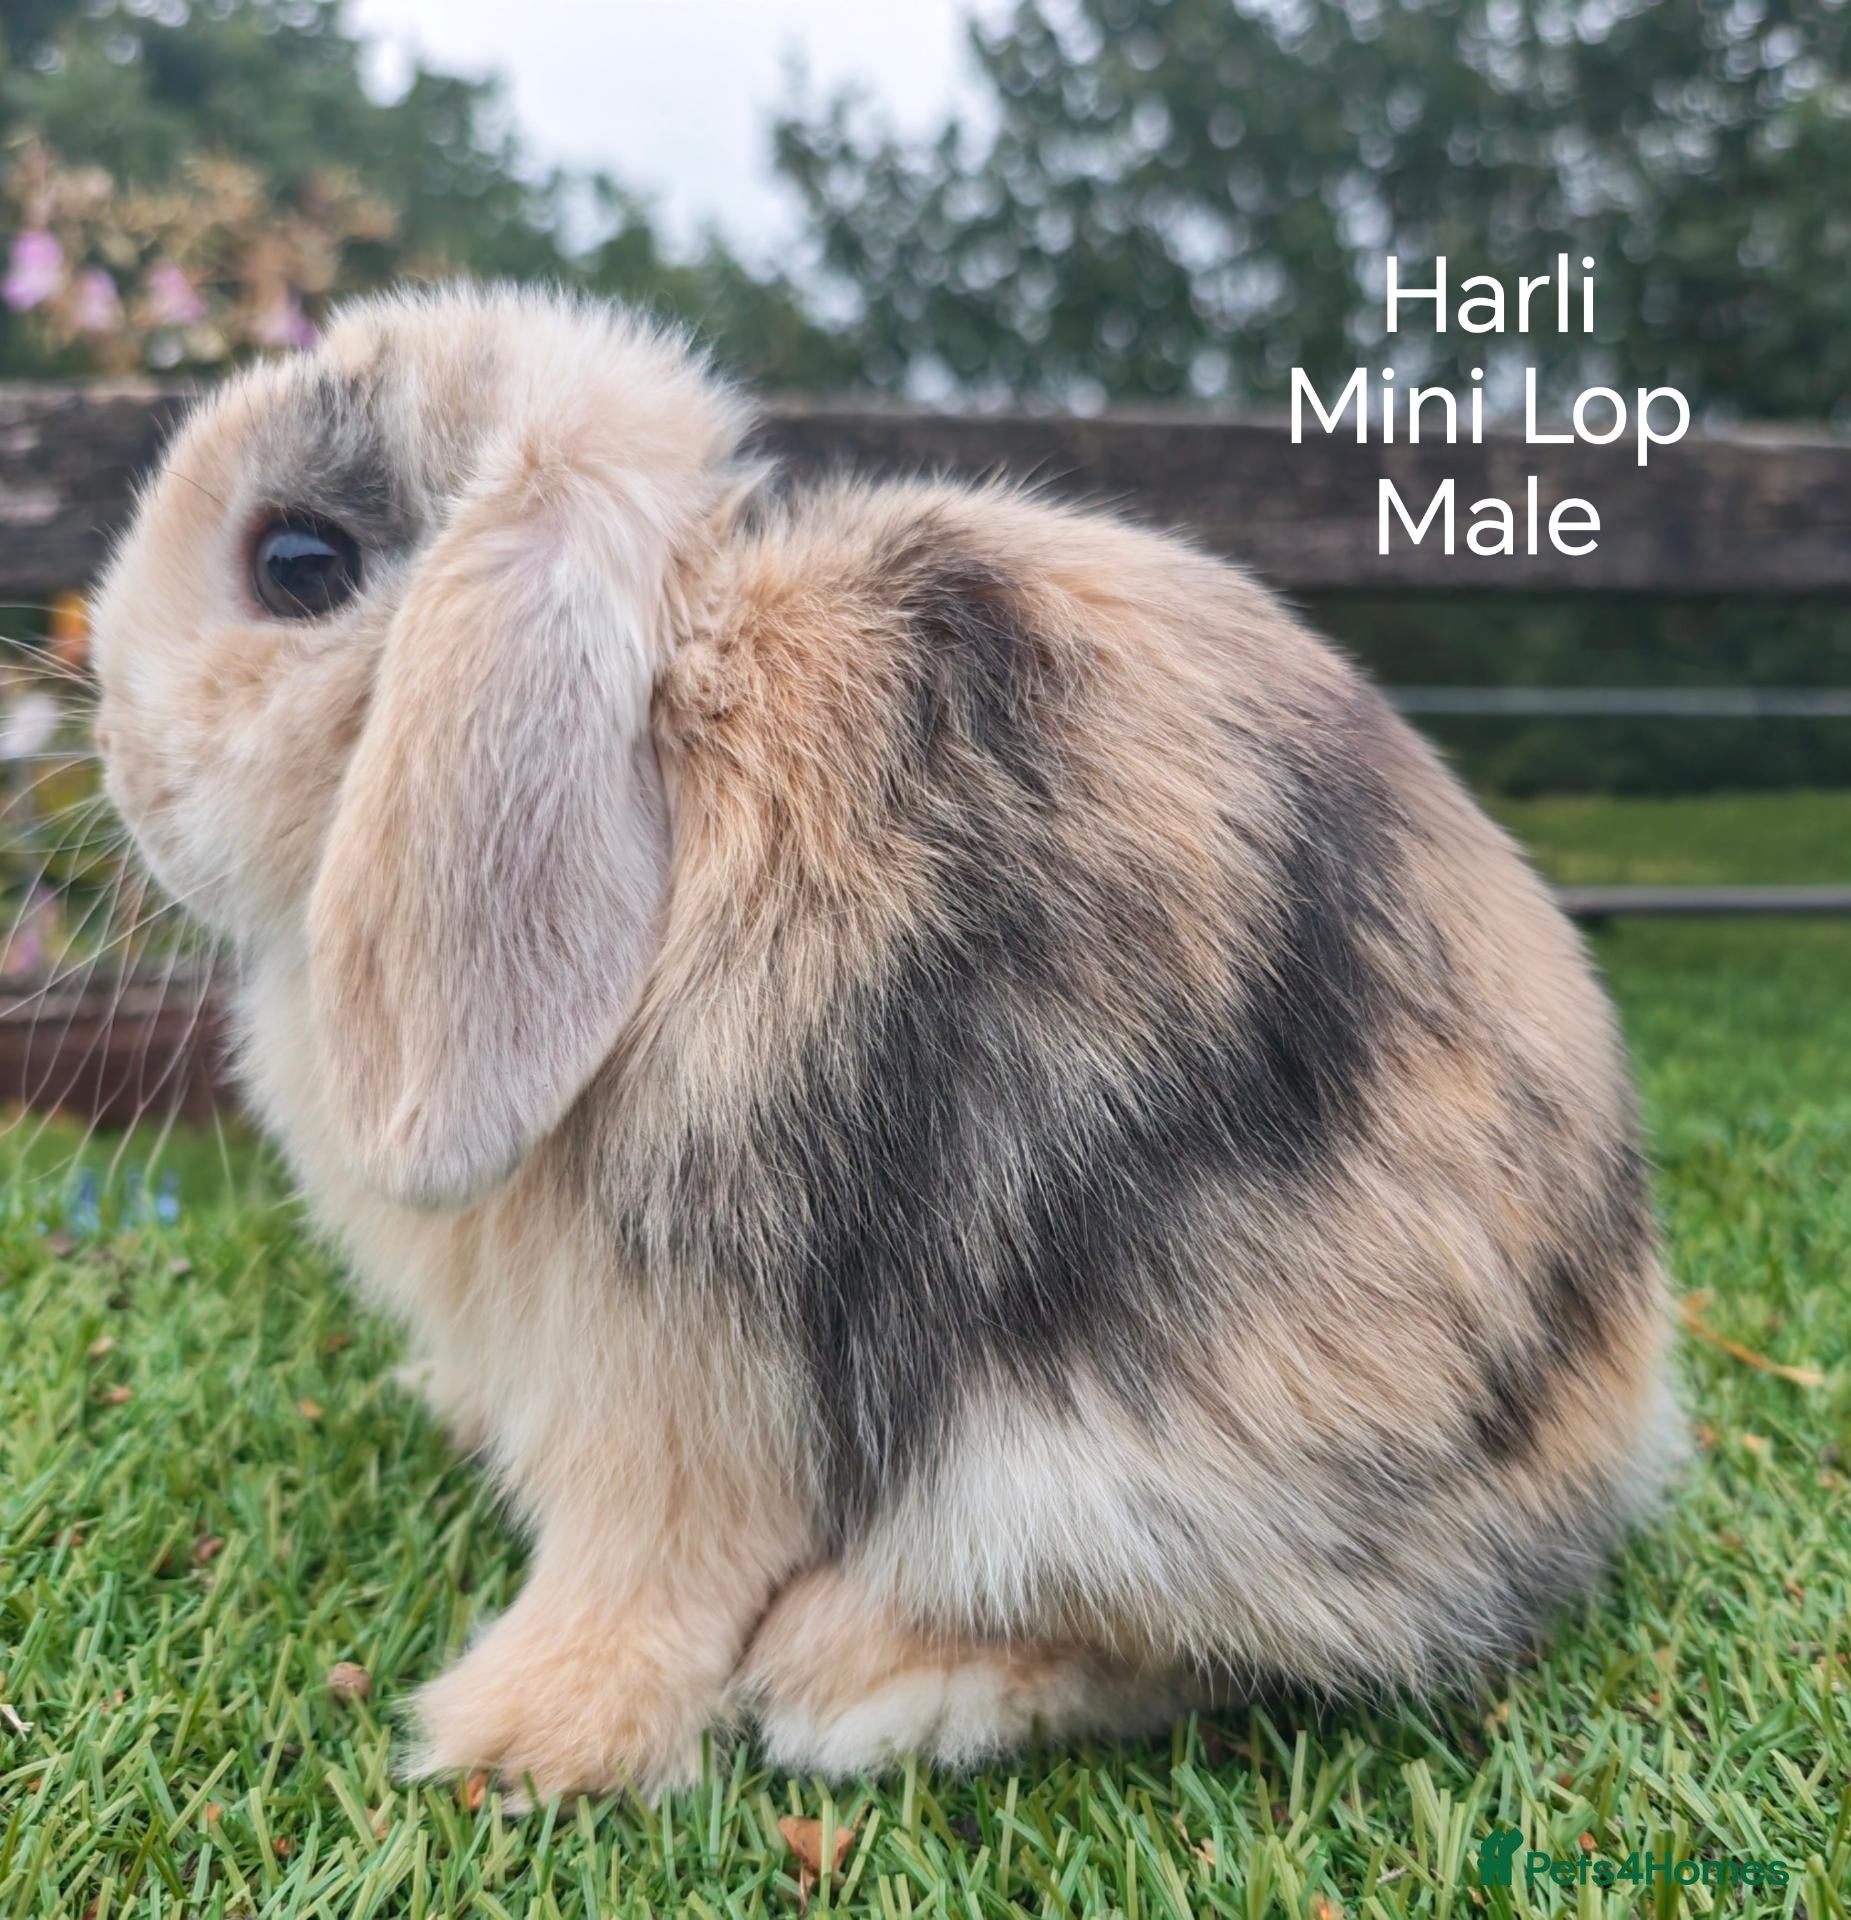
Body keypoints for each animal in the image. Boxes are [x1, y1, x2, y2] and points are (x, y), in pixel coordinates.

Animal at [91, 284, 1680, 1799]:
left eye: (297, 565)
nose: (111, 750)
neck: (680, 715)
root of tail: (1598, 1454)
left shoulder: (672, 1360)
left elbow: (643, 1569)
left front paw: (516, 1745)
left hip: (1122, 1471)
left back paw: (847, 1681)